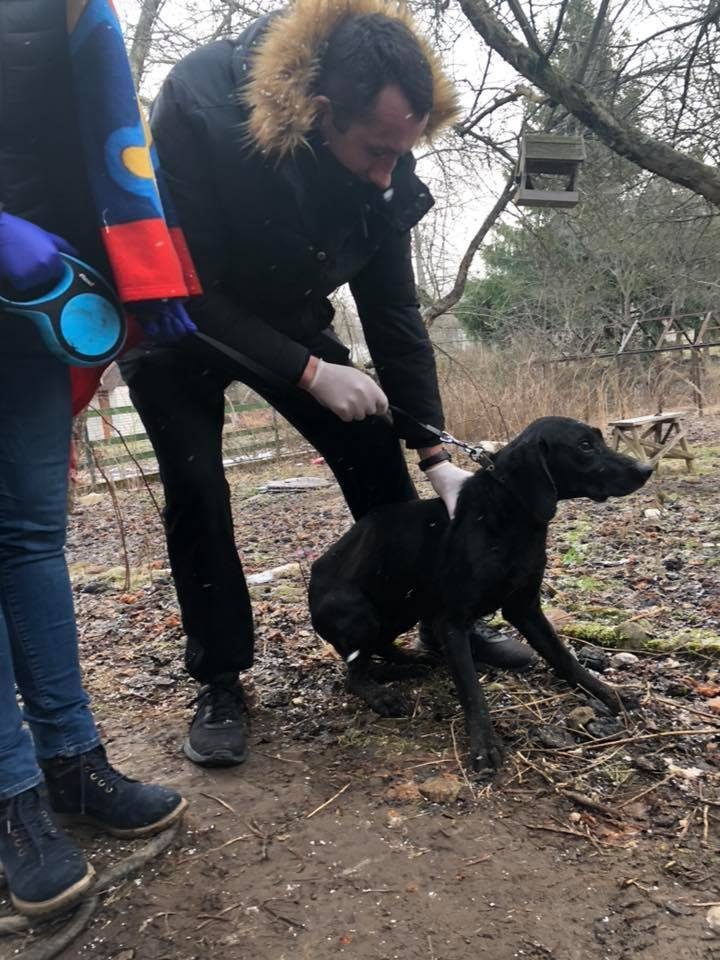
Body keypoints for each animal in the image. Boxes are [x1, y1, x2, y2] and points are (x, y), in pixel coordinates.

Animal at [310, 418, 652, 772]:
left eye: (599, 439)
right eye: (584, 445)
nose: (647, 468)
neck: (508, 516)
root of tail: (313, 573)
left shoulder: (525, 608)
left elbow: (564, 657)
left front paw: (607, 693)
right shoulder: (452, 621)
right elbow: (472, 692)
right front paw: (484, 746)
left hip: (402, 608)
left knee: (376, 649)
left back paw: (411, 662)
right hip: (359, 611)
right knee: (354, 674)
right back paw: (383, 692)